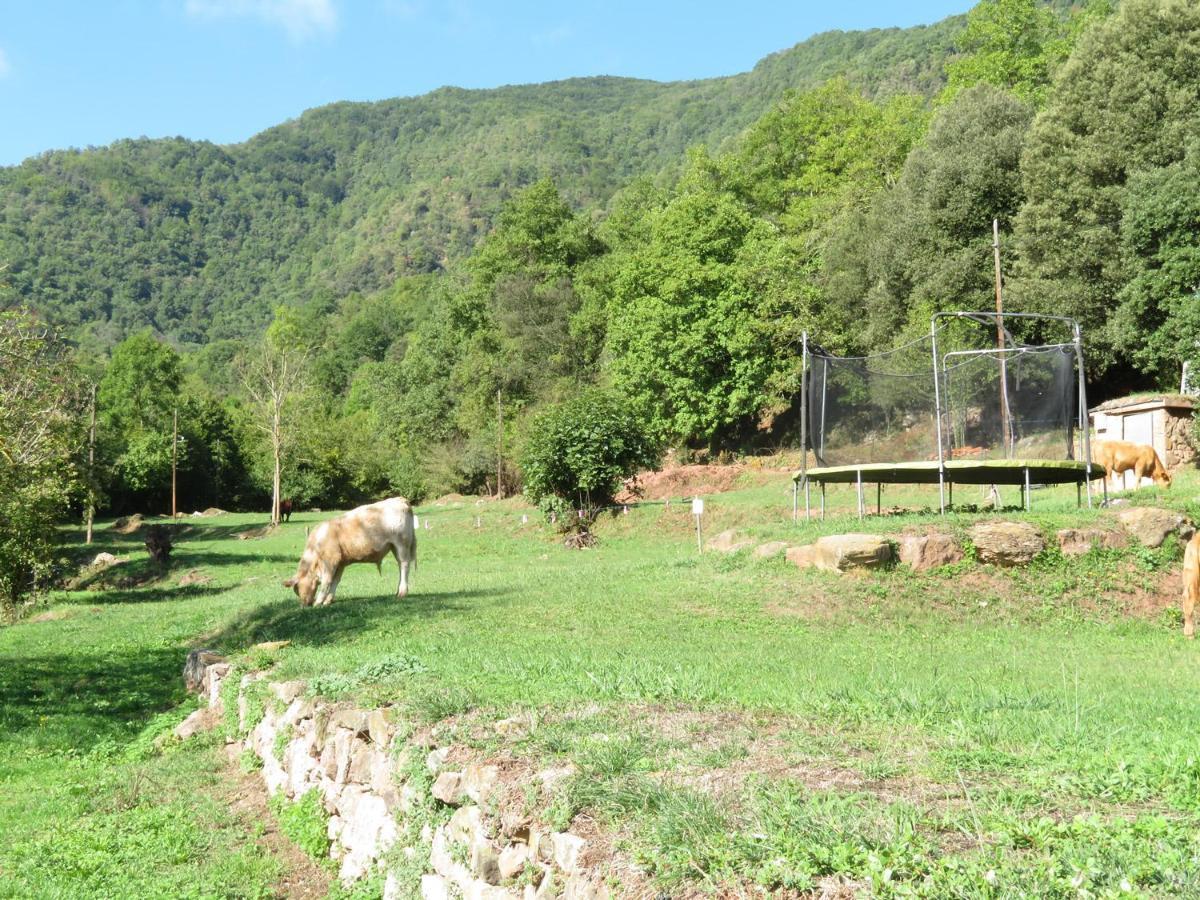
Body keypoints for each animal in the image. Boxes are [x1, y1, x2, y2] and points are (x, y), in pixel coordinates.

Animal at [282, 496, 417, 609]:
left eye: (297, 588)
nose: (304, 605)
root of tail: (400, 499)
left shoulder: (331, 560)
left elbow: (327, 581)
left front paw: (319, 602)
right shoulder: (340, 563)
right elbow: (335, 581)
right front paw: (328, 600)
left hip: (401, 544)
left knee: (404, 565)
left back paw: (402, 592)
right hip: (394, 546)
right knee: (400, 566)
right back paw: (397, 591)